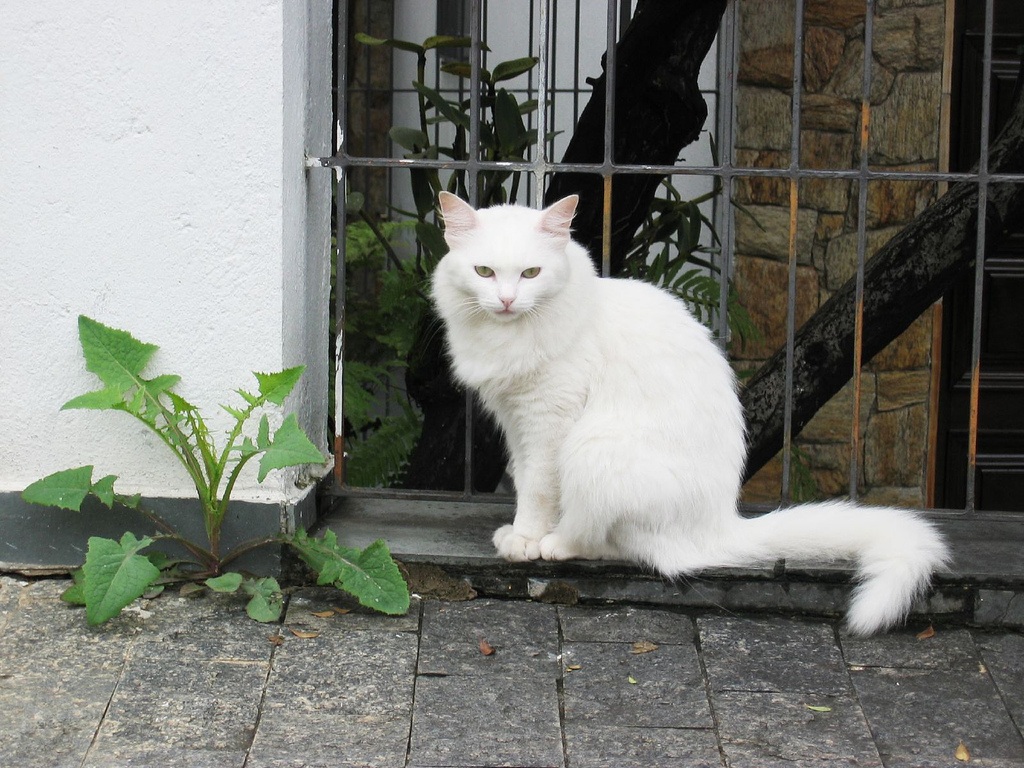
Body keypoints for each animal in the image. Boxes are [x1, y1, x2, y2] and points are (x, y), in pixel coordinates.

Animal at [430, 191, 950, 635]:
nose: (507, 300)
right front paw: (519, 533)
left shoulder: (548, 420)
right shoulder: (515, 420)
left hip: (593, 449)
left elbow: (538, 489)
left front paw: (526, 540)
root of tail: (721, 526)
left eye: (532, 273)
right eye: (484, 271)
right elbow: (523, 480)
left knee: (602, 542)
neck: (509, 338)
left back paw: (557, 544)